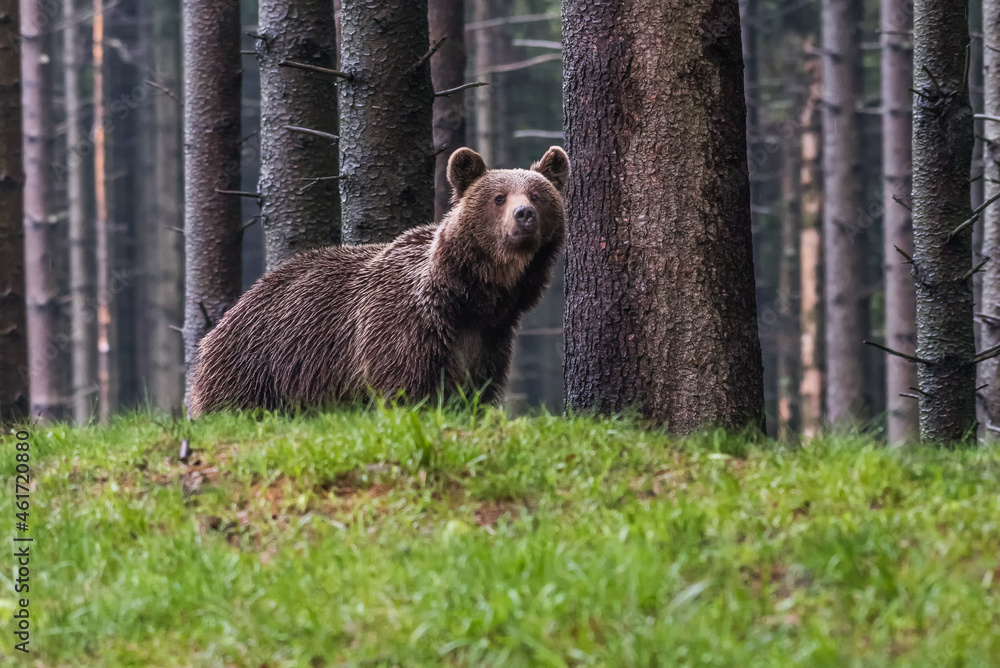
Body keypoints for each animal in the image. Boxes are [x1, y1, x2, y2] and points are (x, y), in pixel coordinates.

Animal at [187, 146, 570, 417]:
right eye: (498, 197)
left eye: (537, 196)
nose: (524, 215)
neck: (468, 297)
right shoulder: (403, 328)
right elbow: (406, 388)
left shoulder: (488, 338)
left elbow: (476, 390)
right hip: (259, 363)